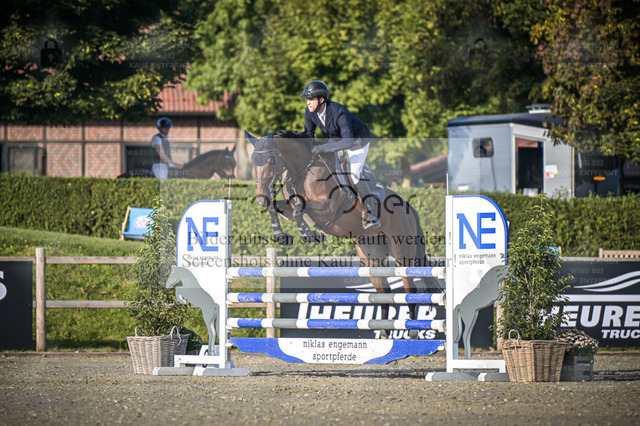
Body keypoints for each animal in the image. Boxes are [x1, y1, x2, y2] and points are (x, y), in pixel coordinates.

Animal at [245, 130, 427, 334]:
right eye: (253, 162)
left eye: (269, 162)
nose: (260, 198)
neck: (303, 171)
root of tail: (407, 207)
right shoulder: (289, 207)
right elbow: (280, 207)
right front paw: (281, 235)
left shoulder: (327, 209)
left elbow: (299, 208)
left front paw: (309, 234)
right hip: (371, 253)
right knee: (384, 291)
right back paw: (384, 333)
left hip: (402, 249)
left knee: (409, 287)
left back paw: (412, 331)